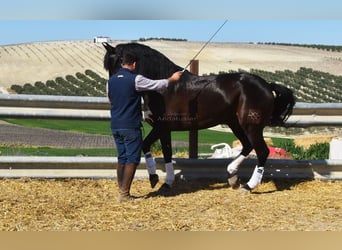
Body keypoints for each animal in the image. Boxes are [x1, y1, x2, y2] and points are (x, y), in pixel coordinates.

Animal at [103, 42, 296, 192]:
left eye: (118, 62)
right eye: (109, 66)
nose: (112, 92)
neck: (164, 87)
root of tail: (266, 85)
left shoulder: (161, 127)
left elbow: (145, 145)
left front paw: (154, 178)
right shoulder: (165, 130)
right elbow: (167, 153)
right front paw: (167, 183)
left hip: (251, 126)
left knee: (262, 151)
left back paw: (248, 186)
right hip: (235, 123)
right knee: (248, 146)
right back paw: (231, 174)